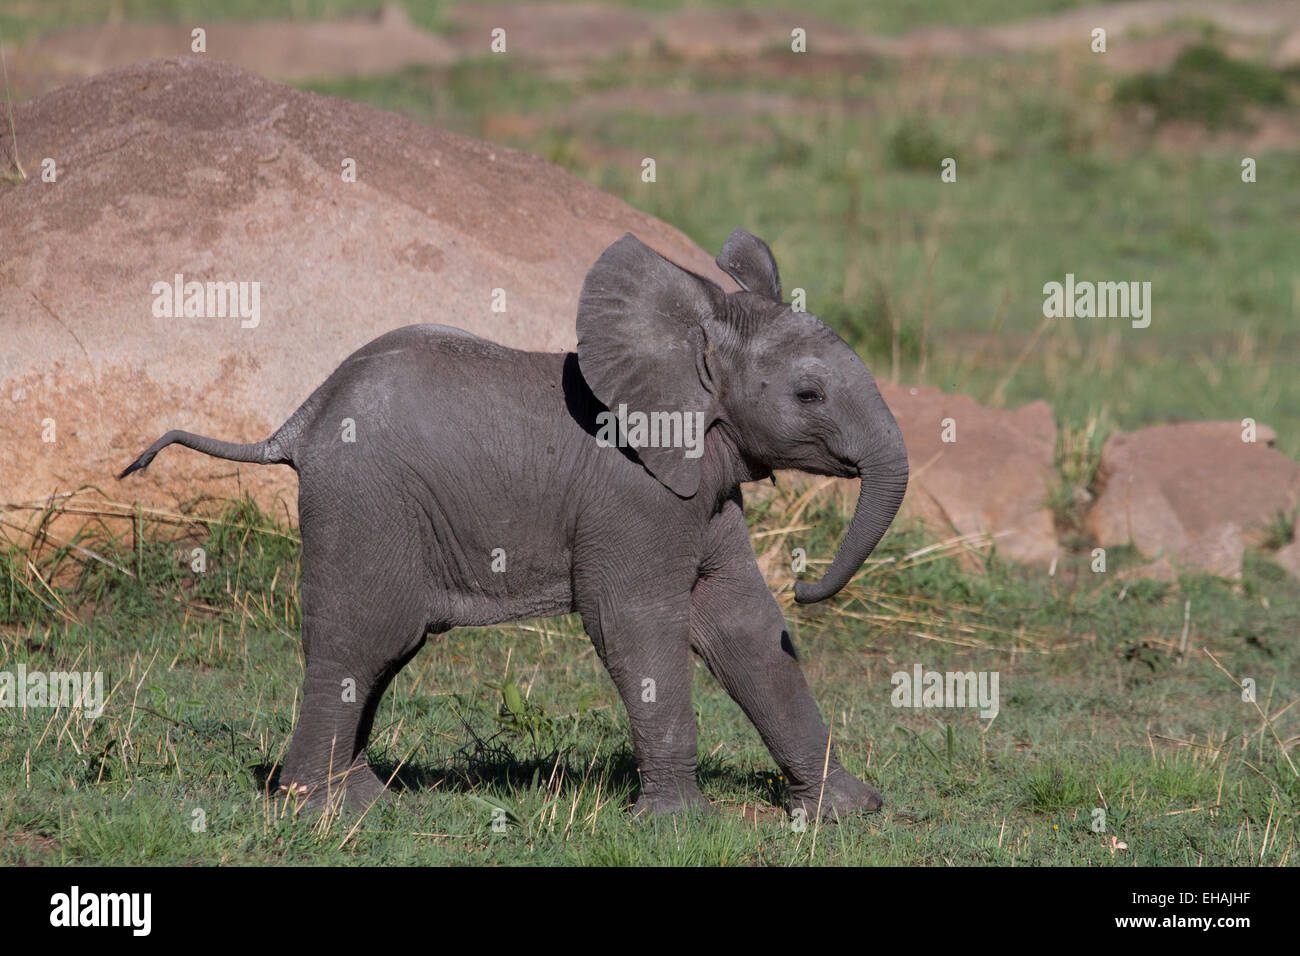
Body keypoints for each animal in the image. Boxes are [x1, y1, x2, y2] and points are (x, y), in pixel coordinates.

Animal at [119, 228, 910, 820]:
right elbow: (635, 624)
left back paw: (367, 800)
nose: (809, 584)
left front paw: (846, 812)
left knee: (381, 650)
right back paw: (320, 811)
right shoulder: (633, 497)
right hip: (364, 502)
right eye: (808, 395)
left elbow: (743, 624)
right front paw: (679, 824)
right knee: (363, 638)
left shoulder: (700, 491)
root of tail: (299, 419)